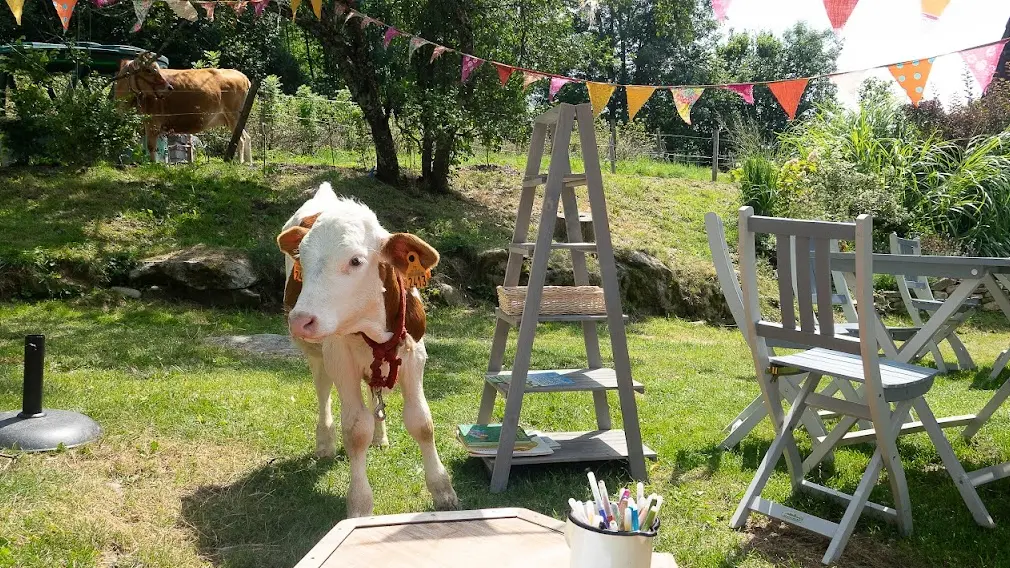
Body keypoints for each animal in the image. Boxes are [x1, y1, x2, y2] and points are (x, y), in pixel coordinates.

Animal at [115, 52, 252, 161]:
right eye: (148, 70)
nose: (169, 87)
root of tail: (243, 77)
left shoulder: (153, 122)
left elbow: (151, 146)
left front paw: (153, 164)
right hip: (232, 118)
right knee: (247, 138)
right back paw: (247, 164)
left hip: (233, 115)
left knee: (241, 139)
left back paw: (238, 163)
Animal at [280, 181, 462, 517]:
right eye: (303, 259)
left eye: (355, 261)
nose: (299, 320)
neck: (373, 326)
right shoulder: (340, 358)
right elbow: (355, 430)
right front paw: (360, 504)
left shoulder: (415, 354)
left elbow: (422, 422)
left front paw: (443, 490)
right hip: (316, 354)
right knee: (323, 390)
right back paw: (325, 442)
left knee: (374, 392)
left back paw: (380, 437)